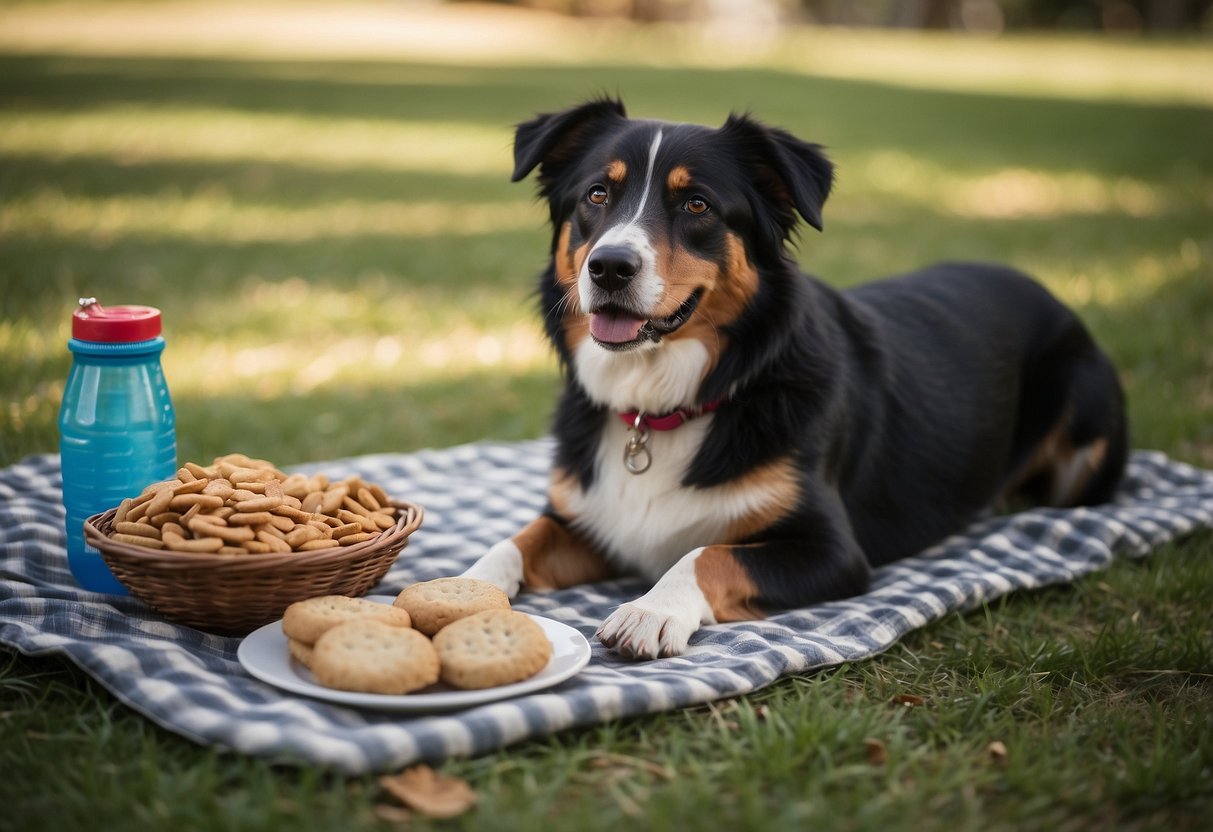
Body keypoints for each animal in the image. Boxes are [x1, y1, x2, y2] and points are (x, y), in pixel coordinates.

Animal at [460, 96, 1125, 659]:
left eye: (697, 204)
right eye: (597, 194)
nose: (610, 267)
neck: (667, 405)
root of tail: (1038, 284)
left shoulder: (834, 551)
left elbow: (705, 554)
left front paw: (651, 611)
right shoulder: (586, 518)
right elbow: (513, 541)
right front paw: (461, 587)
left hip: (1087, 445)